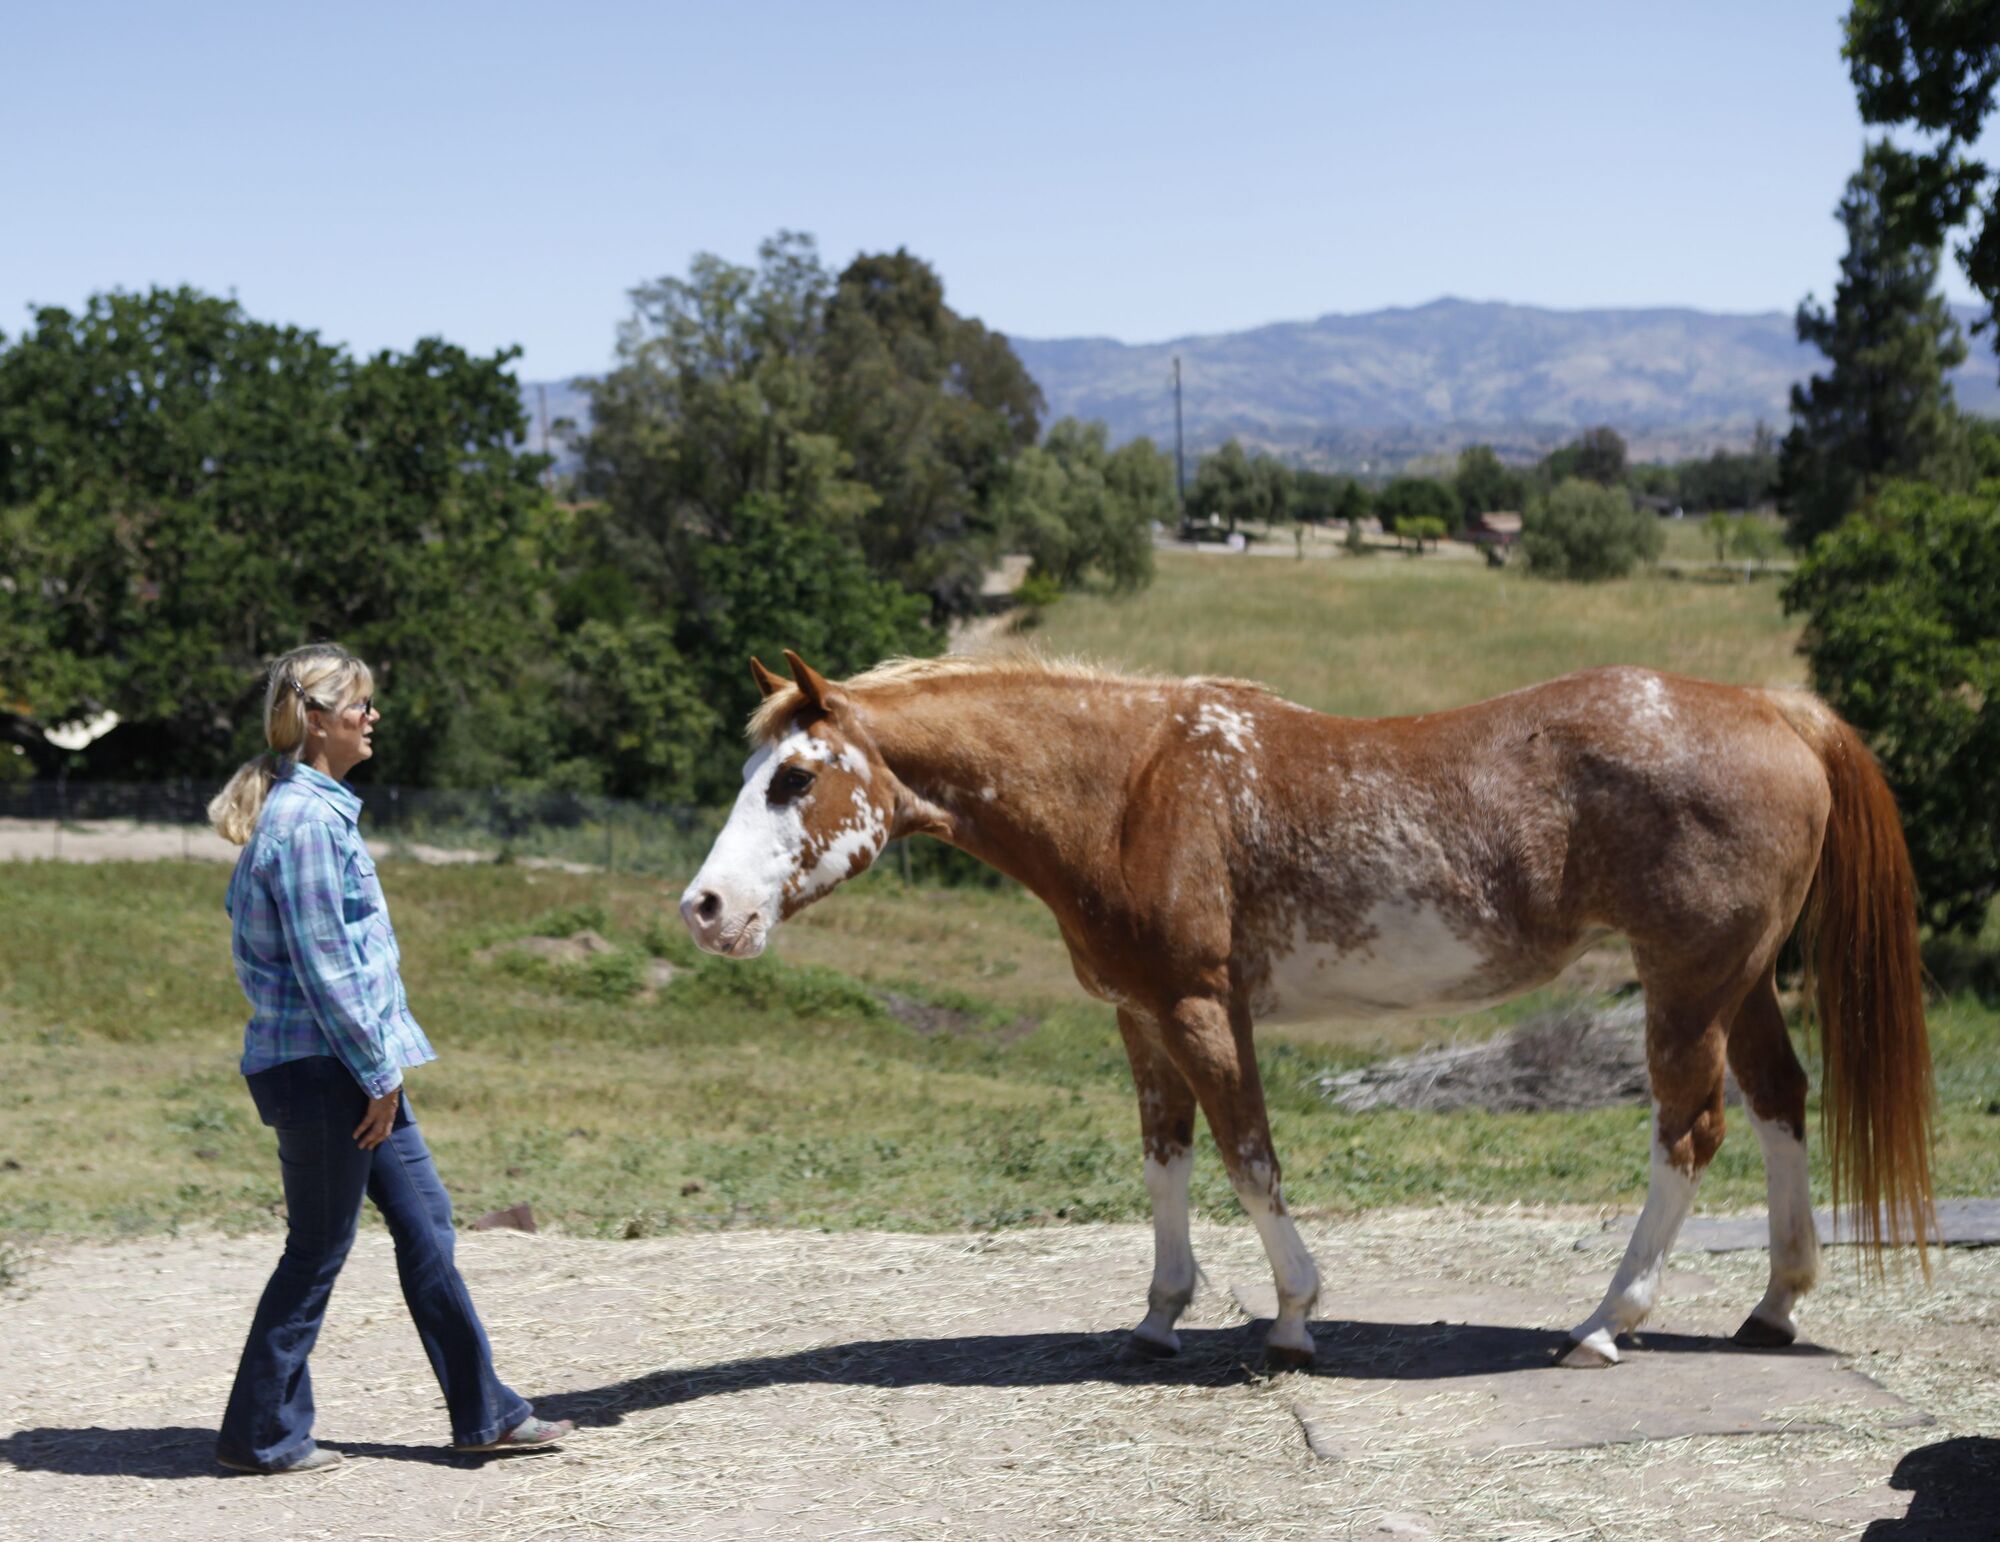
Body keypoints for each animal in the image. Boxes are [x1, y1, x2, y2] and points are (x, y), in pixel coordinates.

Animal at [681, 650, 1934, 1370]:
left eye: (794, 776)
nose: (705, 908)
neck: (1129, 788)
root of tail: (1773, 709)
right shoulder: (1139, 1017)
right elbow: (1166, 1160)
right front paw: (1156, 1317)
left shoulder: (1199, 1007)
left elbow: (1248, 1158)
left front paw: (1291, 1313)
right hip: (1740, 980)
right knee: (1778, 1104)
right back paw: (1771, 1305)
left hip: (1684, 985)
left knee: (1689, 1132)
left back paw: (1602, 1323)